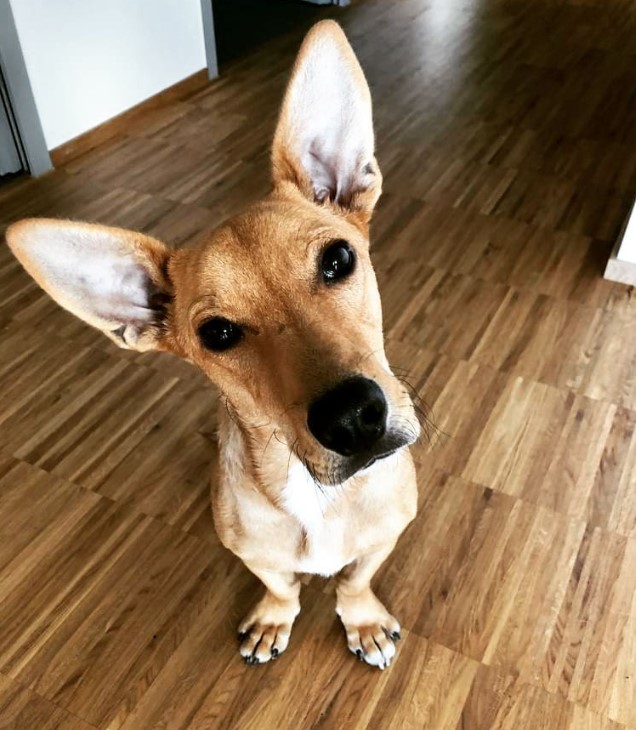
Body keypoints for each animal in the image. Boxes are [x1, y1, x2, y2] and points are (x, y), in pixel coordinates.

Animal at [8, 21, 422, 672]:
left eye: (338, 259)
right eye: (218, 334)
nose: (354, 417)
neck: (313, 493)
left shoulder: (389, 530)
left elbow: (355, 579)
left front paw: (363, 619)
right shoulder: (250, 550)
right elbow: (281, 584)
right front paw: (275, 616)